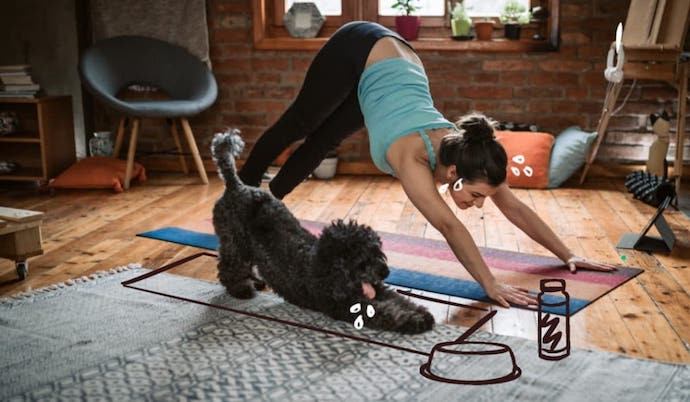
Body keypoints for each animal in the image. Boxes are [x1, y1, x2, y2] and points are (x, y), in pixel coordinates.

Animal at [212, 131, 432, 332]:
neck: (326, 267)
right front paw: (413, 320)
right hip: (234, 242)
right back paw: (240, 288)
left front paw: (420, 311)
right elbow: (385, 312)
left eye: (378, 252)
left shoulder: (377, 289)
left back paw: (255, 281)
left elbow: (398, 299)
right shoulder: (345, 304)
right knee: (228, 267)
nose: (385, 271)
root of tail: (235, 186)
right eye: (362, 259)